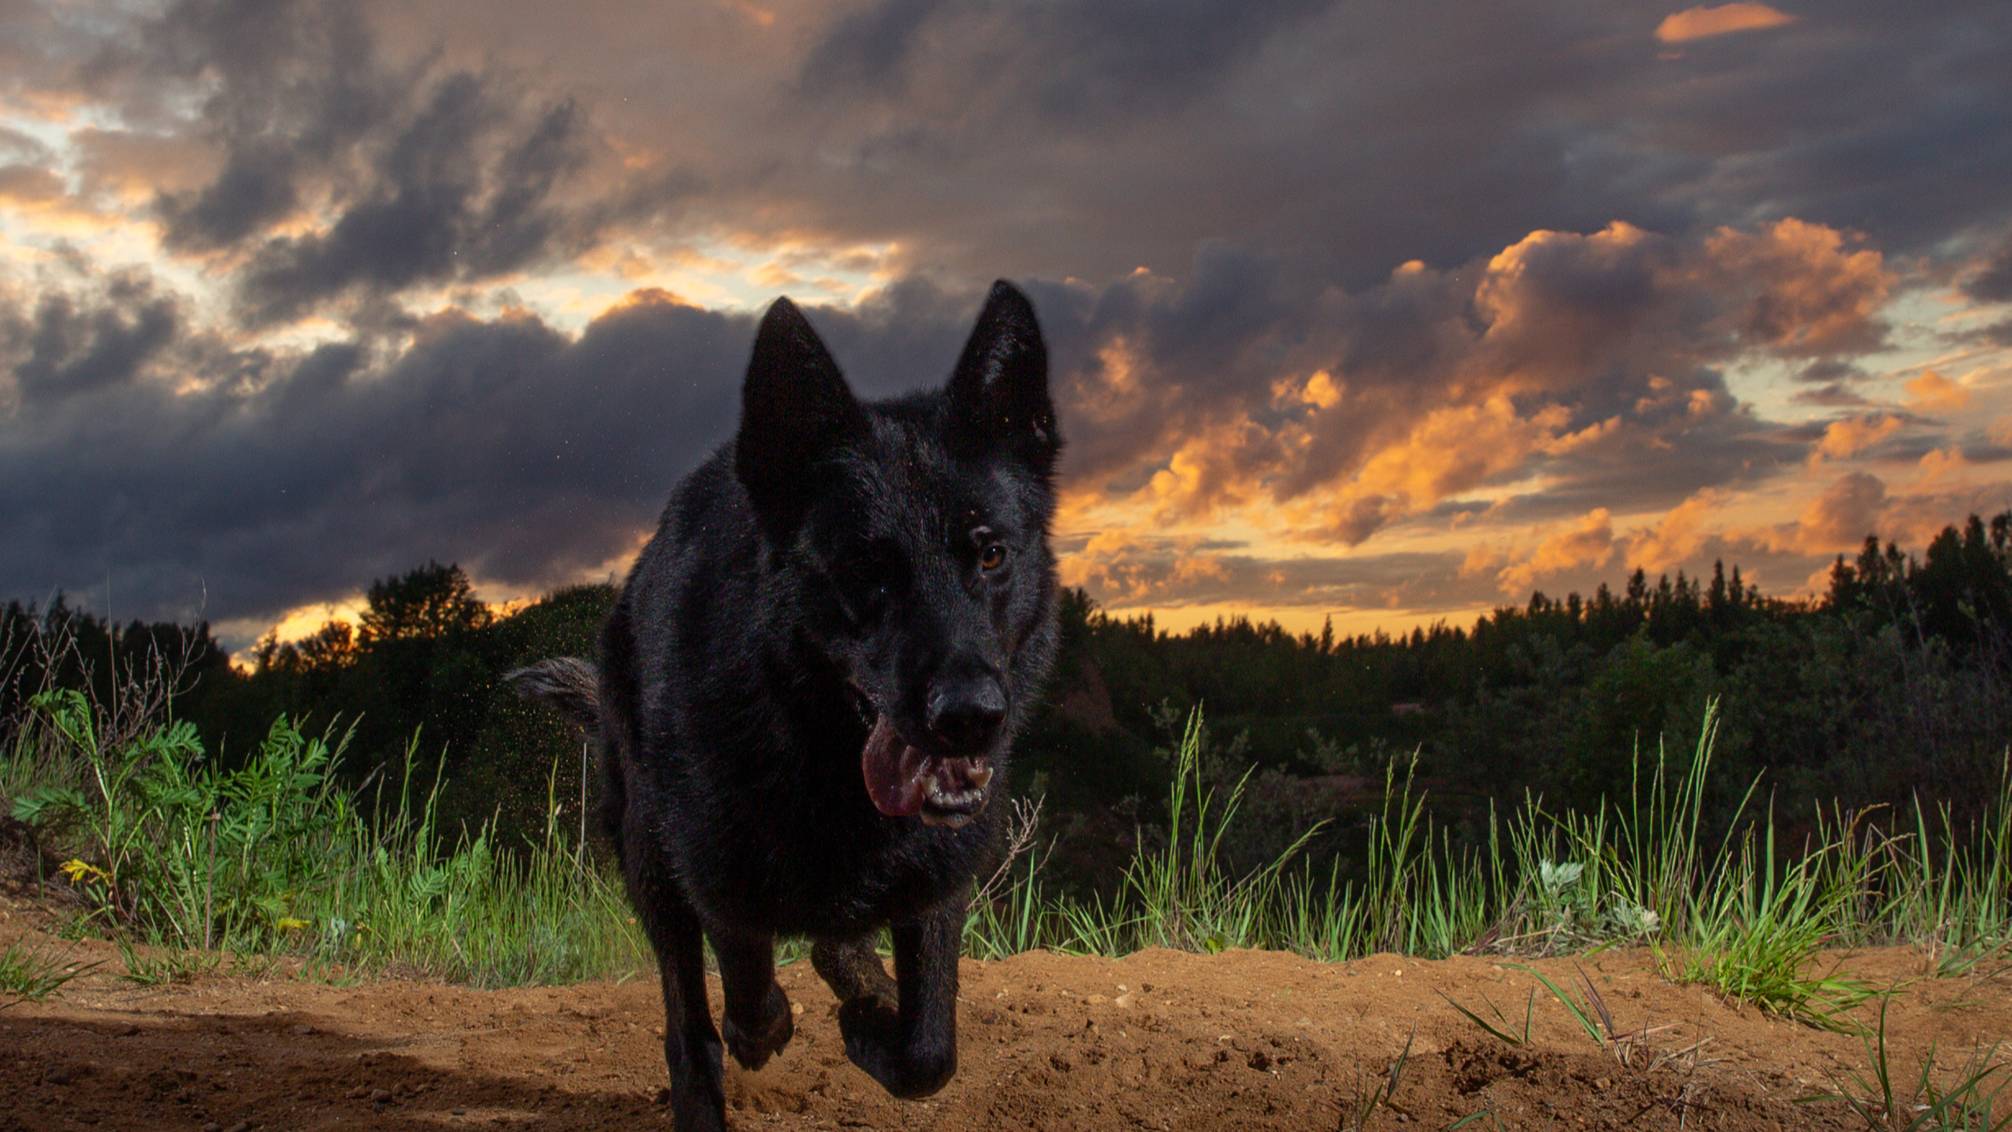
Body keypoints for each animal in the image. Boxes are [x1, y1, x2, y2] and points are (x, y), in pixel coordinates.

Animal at [511, 279, 1062, 1125]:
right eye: (865, 568)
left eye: (992, 553)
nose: (969, 716)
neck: (826, 764)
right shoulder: (714, 868)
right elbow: (744, 977)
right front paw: (769, 1028)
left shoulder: (937, 878)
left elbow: (929, 1049)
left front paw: (869, 1021)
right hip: (646, 851)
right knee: (688, 1019)